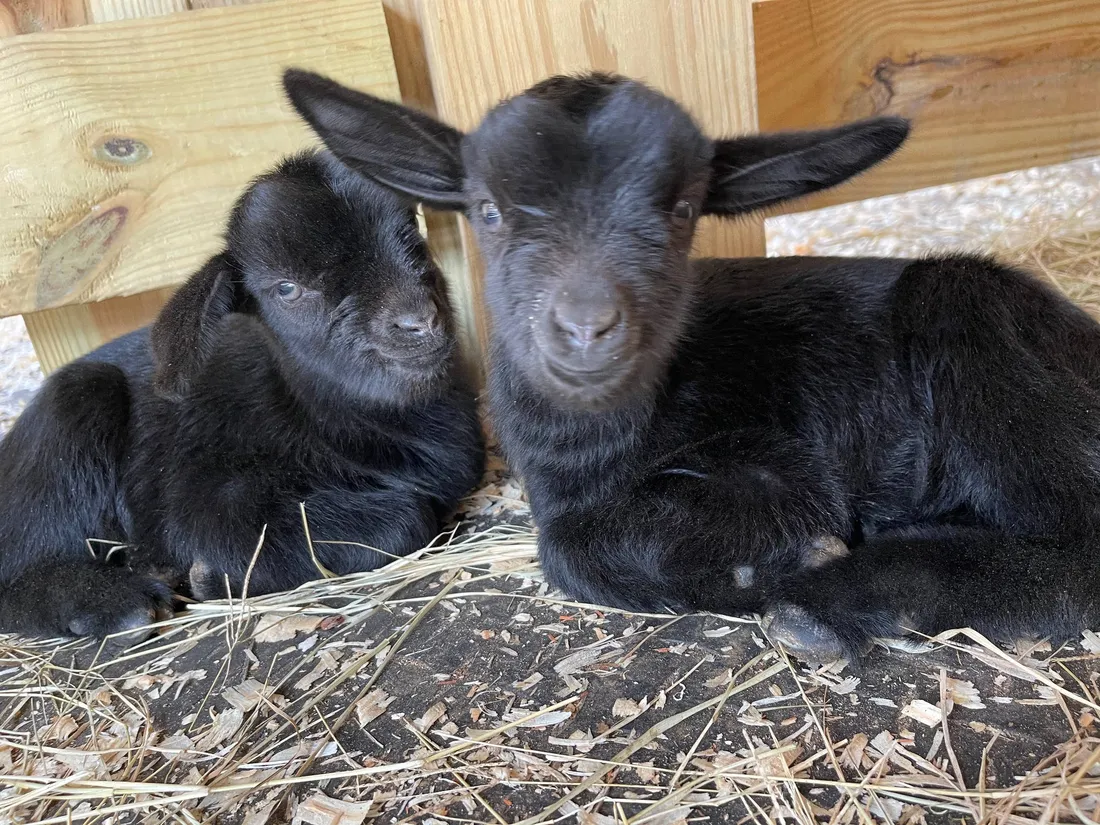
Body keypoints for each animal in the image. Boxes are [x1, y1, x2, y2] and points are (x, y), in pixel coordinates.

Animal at [0, 150, 485, 642]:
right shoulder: (207, 497)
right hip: (73, 405)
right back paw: (118, 603)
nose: (419, 321)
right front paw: (210, 578)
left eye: (412, 233)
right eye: (286, 288)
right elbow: (406, 521)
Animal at [285, 68, 1100, 663]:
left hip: (973, 327)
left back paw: (823, 607)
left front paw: (783, 560)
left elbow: (571, 545)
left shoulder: (783, 462)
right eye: (488, 209)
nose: (586, 326)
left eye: (681, 210)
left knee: (1076, 546)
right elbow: (566, 540)